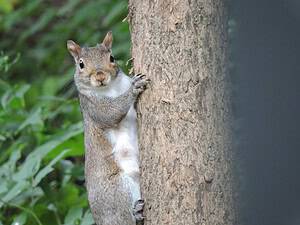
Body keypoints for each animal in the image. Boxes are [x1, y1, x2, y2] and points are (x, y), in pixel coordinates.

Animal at [67, 31, 149, 225]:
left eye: (111, 58)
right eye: (81, 64)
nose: (100, 76)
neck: (111, 88)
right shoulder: (92, 107)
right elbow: (110, 113)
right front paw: (134, 89)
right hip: (118, 190)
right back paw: (136, 212)